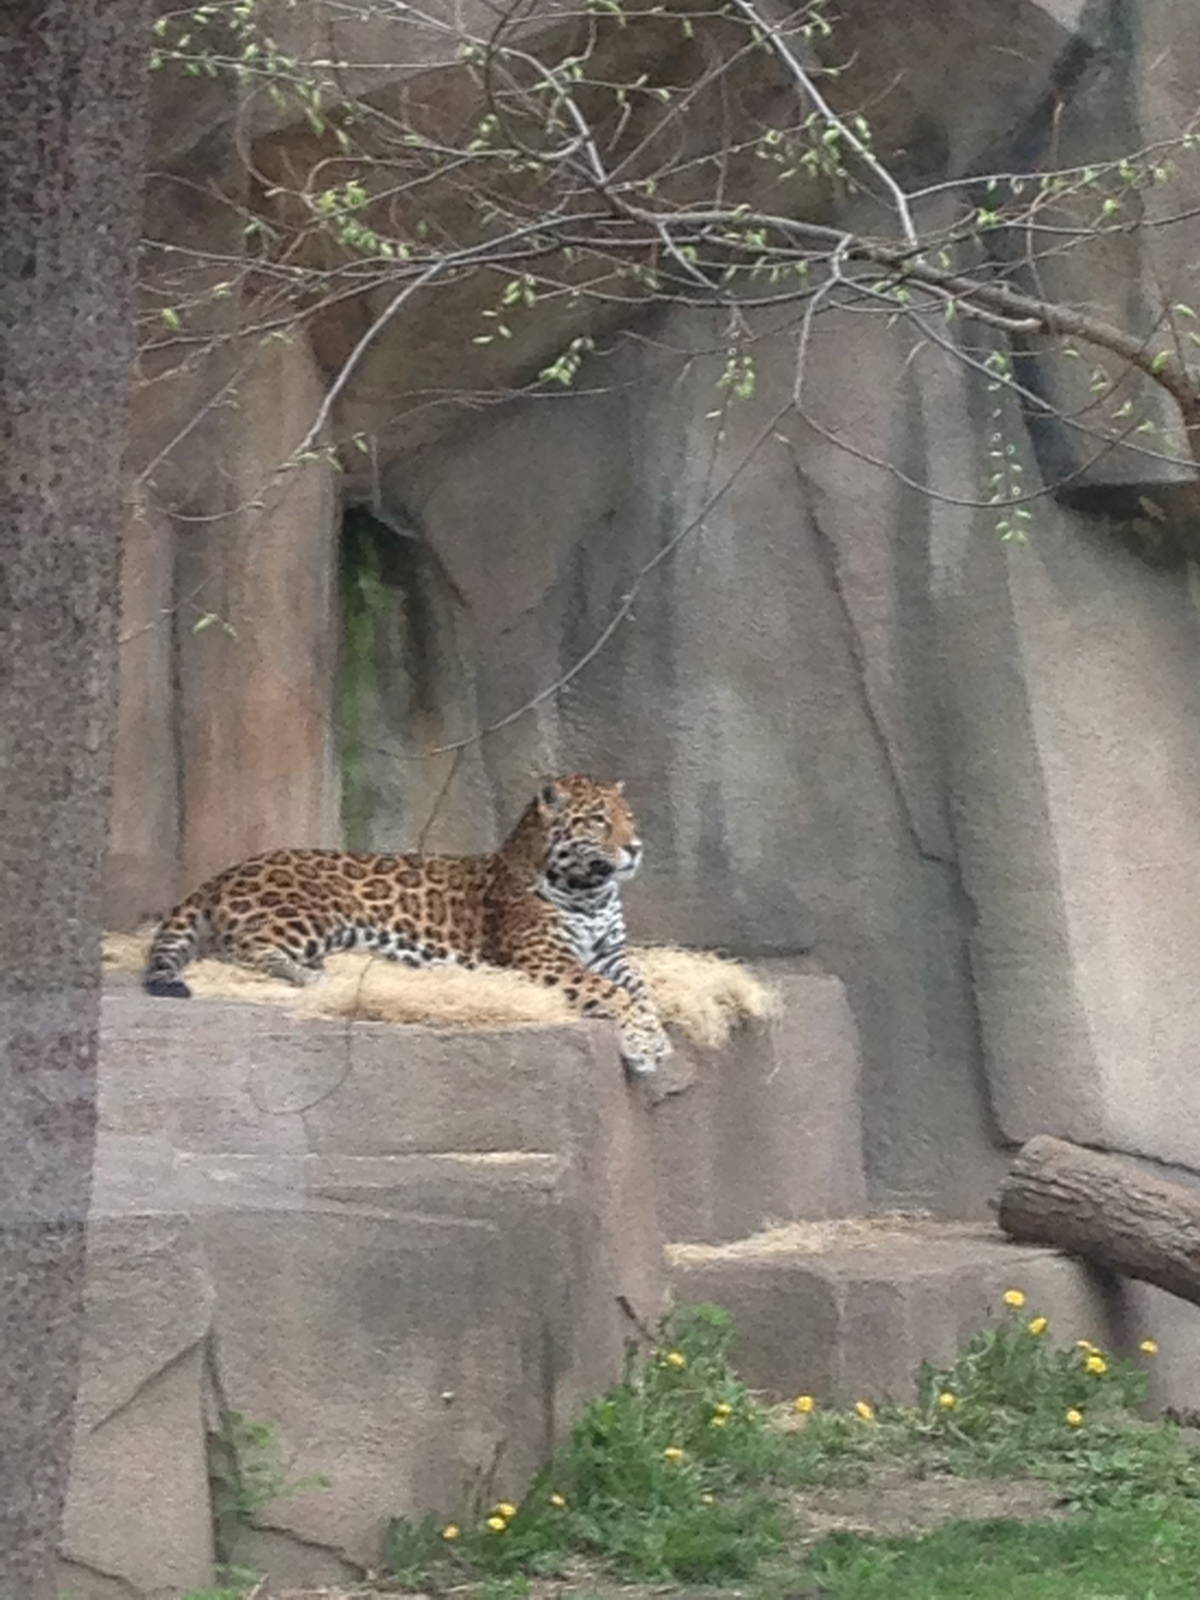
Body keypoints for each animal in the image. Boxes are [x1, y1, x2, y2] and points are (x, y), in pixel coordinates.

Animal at [142, 774, 671, 1076]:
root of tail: (224, 873)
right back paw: (309, 976)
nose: (637, 847)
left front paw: (657, 1035)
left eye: (629, 817)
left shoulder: (611, 953)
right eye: (598, 821)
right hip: (313, 910)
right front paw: (642, 1045)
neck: (590, 889)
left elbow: (639, 988)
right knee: (246, 947)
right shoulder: (545, 956)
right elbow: (610, 992)